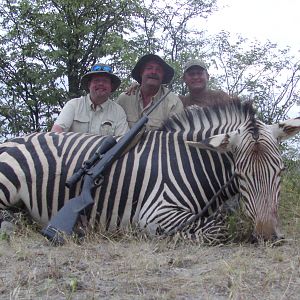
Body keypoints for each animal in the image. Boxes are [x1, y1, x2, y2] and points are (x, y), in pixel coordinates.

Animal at [0, 99, 298, 243]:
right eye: (239, 174)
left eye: (281, 171)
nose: (268, 236)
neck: (192, 162)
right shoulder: (156, 212)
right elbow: (218, 228)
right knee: (7, 219)